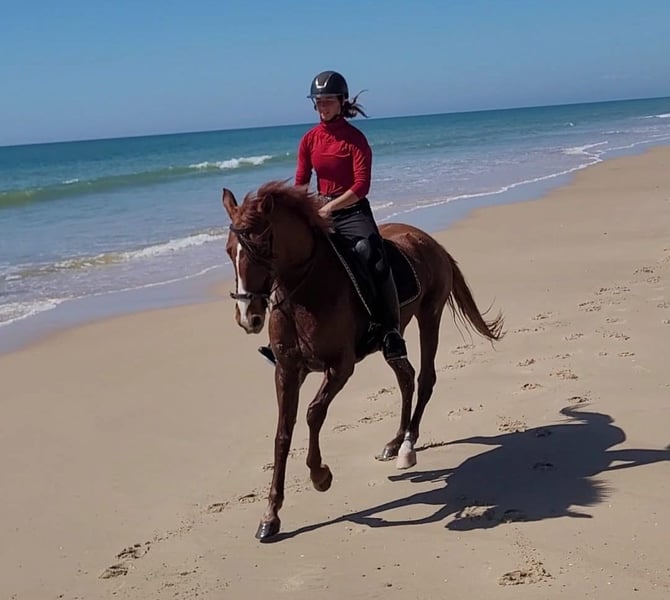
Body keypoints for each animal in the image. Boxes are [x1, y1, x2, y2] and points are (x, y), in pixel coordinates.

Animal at [222, 181, 503, 540]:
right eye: (230, 251)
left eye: (261, 250)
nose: (249, 317)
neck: (306, 292)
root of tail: (428, 240)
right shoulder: (286, 371)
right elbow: (283, 434)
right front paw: (271, 516)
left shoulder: (340, 367)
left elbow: (314, 414)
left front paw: (320, 476)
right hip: (394, 335)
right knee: (406, 377)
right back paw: (394, 442)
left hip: (430, 317)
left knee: (425, 378)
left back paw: (407, 446)